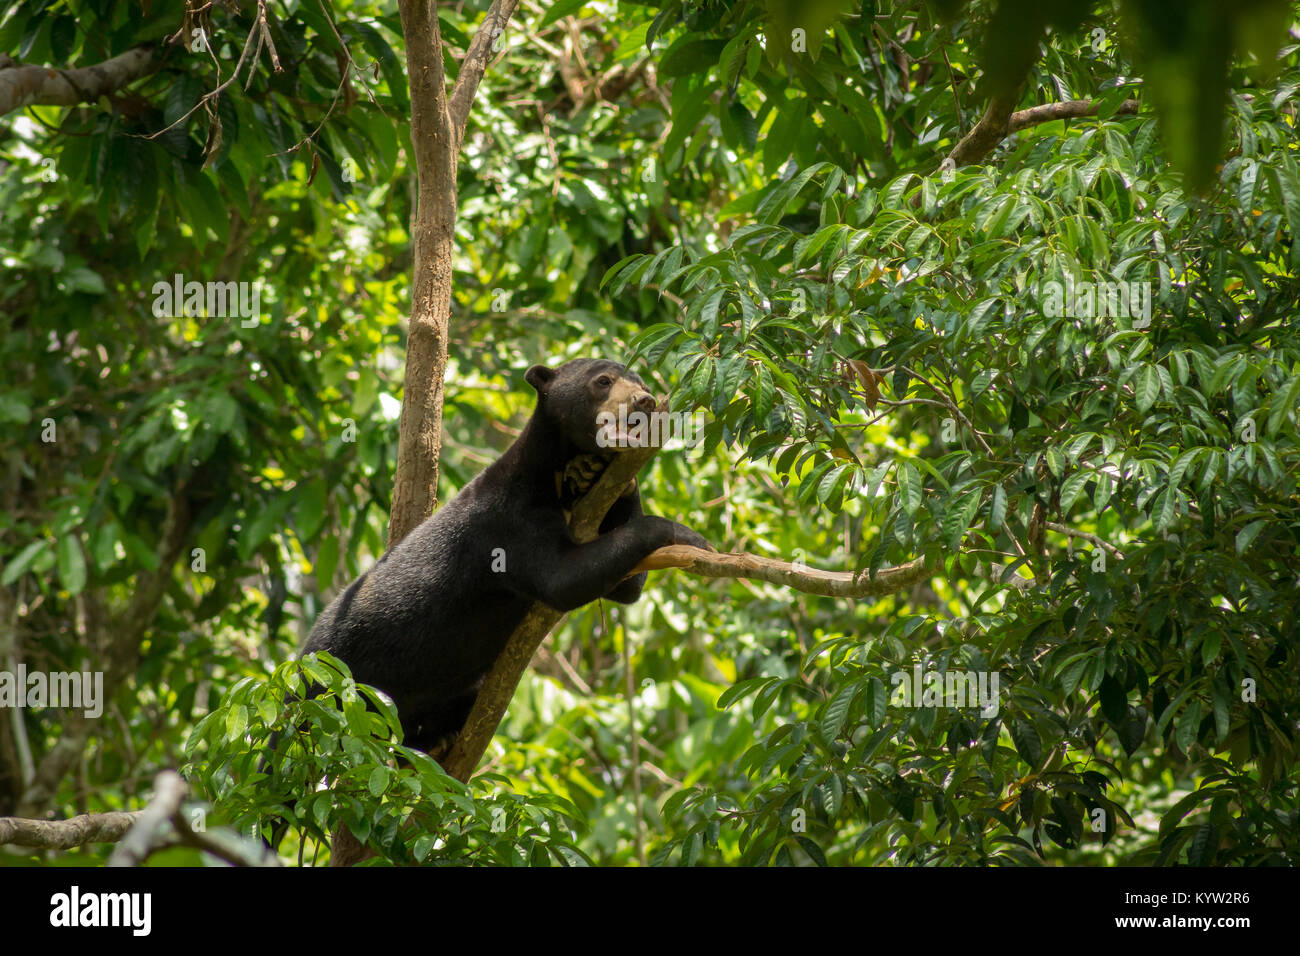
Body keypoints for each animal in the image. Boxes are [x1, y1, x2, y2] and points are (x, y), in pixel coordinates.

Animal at [297, 358, 712, 754]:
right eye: (603, 381)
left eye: (642, 383)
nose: (644, 402)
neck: (550, 473)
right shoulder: (508, 520)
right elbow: (563, 578)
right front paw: (690, 536)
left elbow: (625, 587)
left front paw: (591, 471)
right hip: (331, 685)